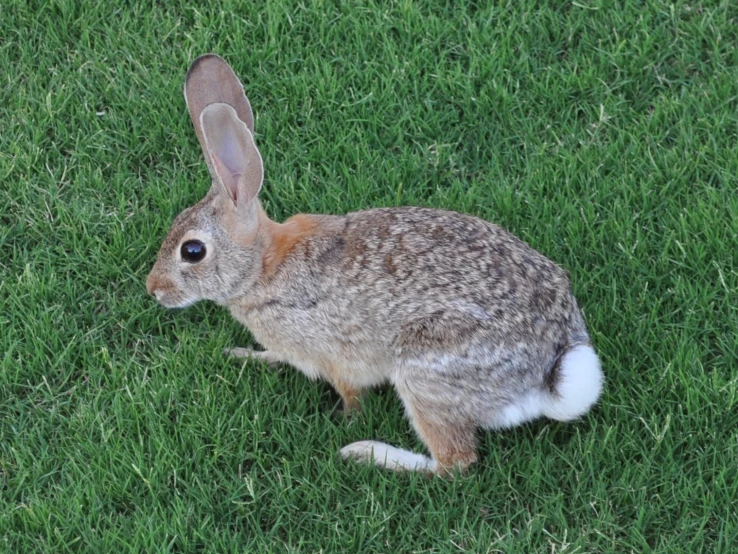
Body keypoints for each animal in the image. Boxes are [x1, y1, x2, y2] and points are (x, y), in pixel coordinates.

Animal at [145, 54, 604, 472]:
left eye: (192, 251)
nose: (154, 289)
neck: (261, 268)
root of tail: (546, 374)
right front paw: (243, 354)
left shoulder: (336, 358)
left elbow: (350, 395)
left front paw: (345, 422)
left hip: (424, 371)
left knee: (454, 463)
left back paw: (368, 453)